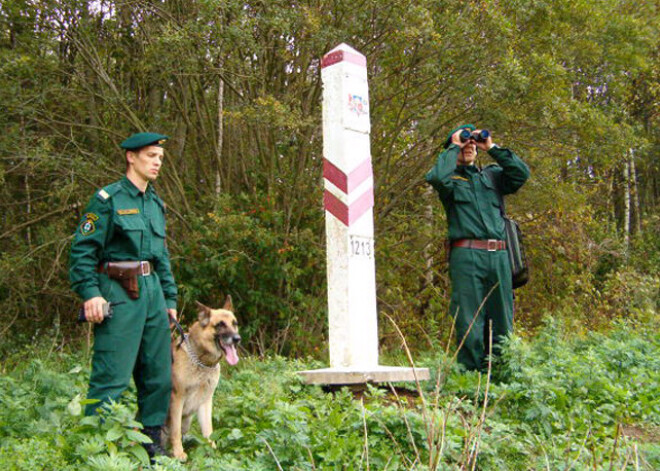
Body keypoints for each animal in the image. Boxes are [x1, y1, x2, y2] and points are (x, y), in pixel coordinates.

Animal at [163, 296, 242, 462]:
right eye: (220, 325)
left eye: (234, 324)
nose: (237, 339)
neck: (203, 362)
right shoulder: (177, 399)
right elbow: (175, 431)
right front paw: (179, 453)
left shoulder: (206, 401)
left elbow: (208, 430)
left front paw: (212, 451)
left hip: (187, 421)